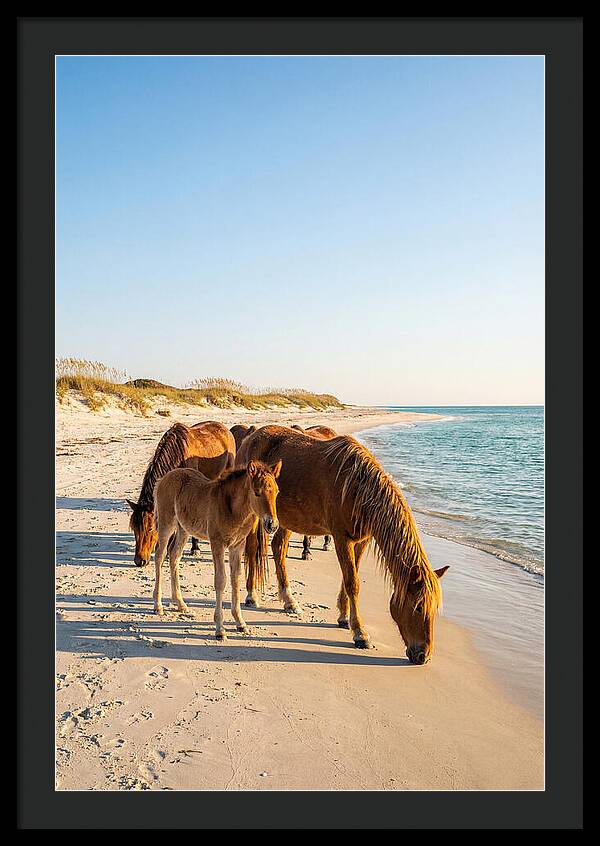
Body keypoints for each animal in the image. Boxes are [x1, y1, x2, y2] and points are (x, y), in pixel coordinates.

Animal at [127, 421, 236, 566]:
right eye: (134, 528)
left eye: (150, 528)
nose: (139, 561)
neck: (178, 455)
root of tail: (225, 429)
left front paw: (195, 548)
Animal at [152, 459, 282, 639]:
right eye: (257, 492)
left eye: (277, 492)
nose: (272, 525)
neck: (233, 509)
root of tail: (164, 478)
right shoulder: (217, 543)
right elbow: (221, 580)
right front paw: (220, 629)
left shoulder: (237, 546)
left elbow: (236, 579)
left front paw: (240, 623)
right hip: (166, 523)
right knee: (160, 555)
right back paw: (158, 606)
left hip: (183, 528)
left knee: (174, 556)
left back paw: (180, 604)